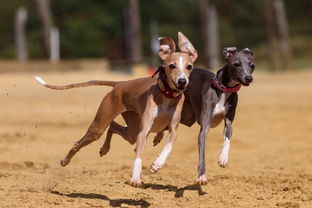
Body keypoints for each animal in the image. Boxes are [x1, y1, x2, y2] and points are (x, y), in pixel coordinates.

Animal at [34, 32, 197, 187]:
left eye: (189, 66)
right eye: (172, 66)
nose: (182, 82)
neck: (166, 95)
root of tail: (120, 84)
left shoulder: (173, 129)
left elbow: (169, 145)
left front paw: (157, 164)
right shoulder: (144, 130)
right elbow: (138, 156)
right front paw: (135, 178)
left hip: (132, 128)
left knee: (114, 126)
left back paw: (107, 148)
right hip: (100, 126)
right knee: (85, 140)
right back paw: (65, 160)